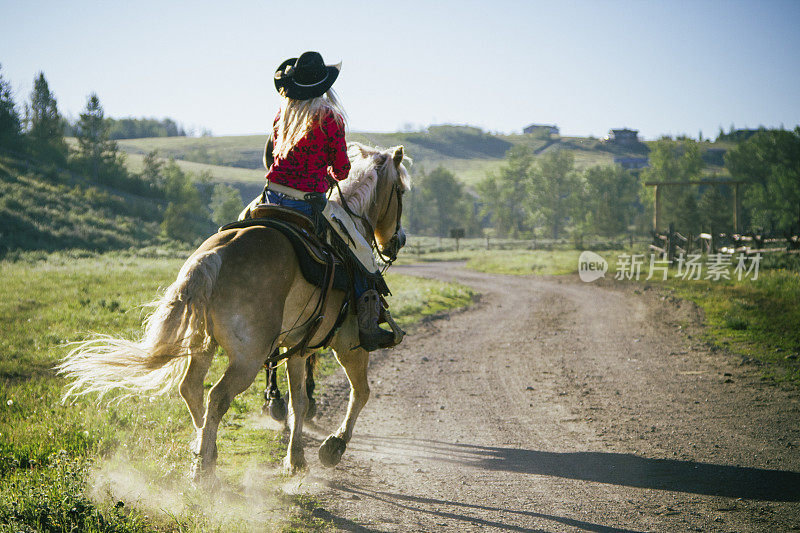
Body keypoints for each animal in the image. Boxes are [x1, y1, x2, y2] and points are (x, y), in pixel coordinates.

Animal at [61, 143, 412, 480]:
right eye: (401, 191)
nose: (398, 240)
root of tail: (213, 256)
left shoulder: (297, 348)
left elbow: (299, 401)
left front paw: (296, 458)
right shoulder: (350, 342)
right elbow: (360, 392)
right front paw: (333, 447)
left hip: (203, 345)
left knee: (191, 389)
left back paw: (204, 448)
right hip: (248, 359)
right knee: (217, 396)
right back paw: (204, 470)